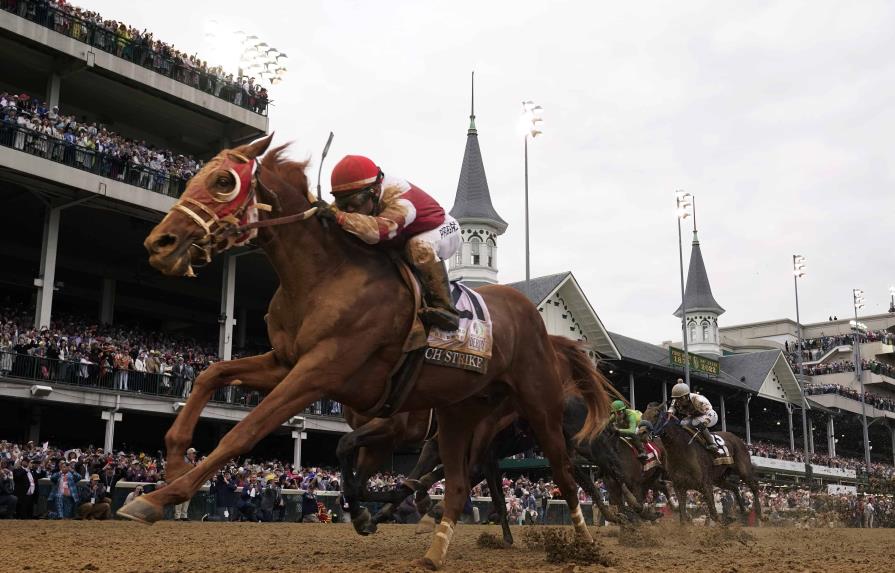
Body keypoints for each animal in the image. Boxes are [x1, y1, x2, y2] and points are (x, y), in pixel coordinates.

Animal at [121, 136, 608, 568]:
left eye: (224, 181)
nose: (159, 243)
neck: (326, 276)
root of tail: (536, 320)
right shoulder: (285, 362)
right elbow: (212, 374)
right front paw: (174, 459)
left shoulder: (320, 373)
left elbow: (246, 431)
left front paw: (160, 496)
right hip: (460, 413)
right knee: (458, 482)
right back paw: (435, 549)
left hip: (539, 406)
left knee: (565, 474)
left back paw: (588, 544)